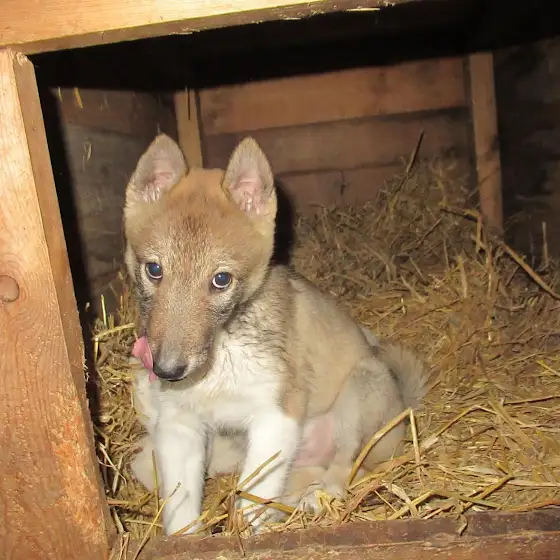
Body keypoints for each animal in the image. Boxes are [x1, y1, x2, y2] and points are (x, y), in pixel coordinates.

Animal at [123, 133, 429, 536]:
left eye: (221, 280)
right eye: (154, 270)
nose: (168, 371)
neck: (223, 352)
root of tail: (404, 410)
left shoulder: (277, 413)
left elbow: (254, 493)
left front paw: (247, 532)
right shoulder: (179, 425)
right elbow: (180, 509)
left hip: (362, 390)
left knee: (347, 467)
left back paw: (322, 497)